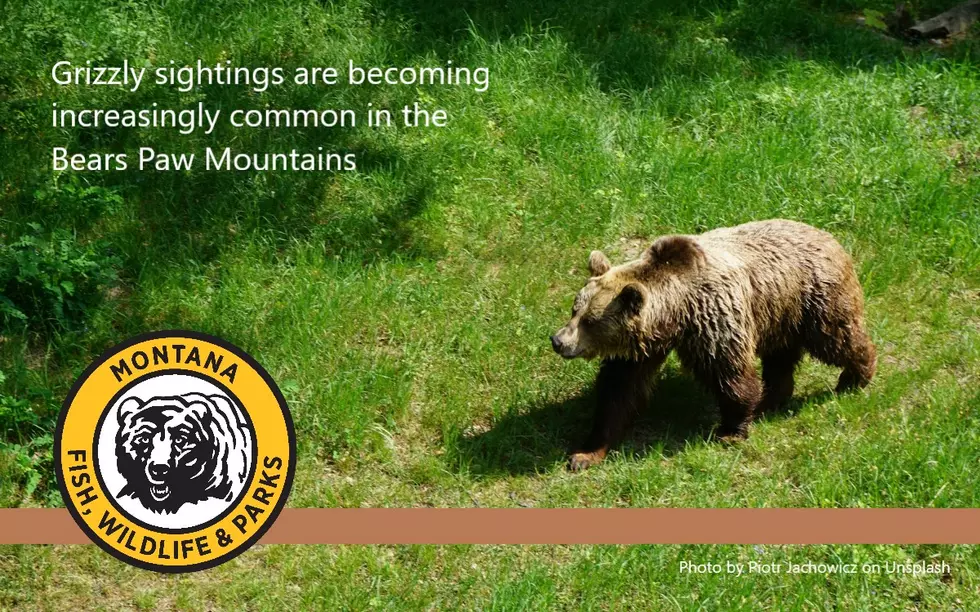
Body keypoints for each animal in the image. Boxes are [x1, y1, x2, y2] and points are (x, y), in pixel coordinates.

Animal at [550, 219, 876, 470]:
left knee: (837, 339)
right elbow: (618, 391)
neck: (676, 315)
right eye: (575, 309)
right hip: (781, 314)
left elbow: (730, 375)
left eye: (590, 321)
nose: (558, 341)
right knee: (781, 358)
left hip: (815, 298)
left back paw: (855, 377)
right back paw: (772, 399)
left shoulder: (714, 318)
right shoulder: (641, 348)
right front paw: (585, 453)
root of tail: (829, 236)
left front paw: (731, 430)